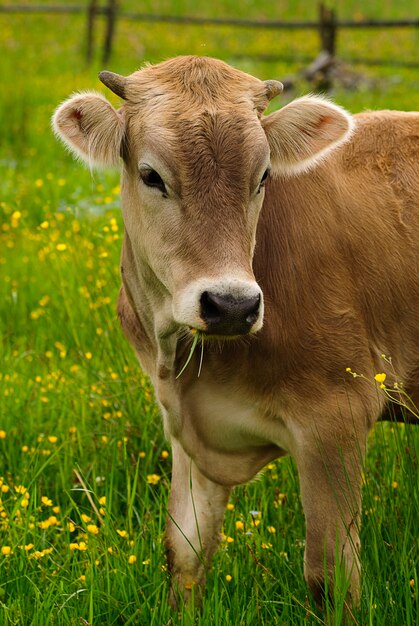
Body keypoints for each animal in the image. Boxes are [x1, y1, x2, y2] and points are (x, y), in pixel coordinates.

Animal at [53, 56, 419, 608]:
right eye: (150, 175)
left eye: (263, 176)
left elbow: (331, 576)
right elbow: (184, 553)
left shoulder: (337, 413)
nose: (232, 305)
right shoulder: (184, 421)